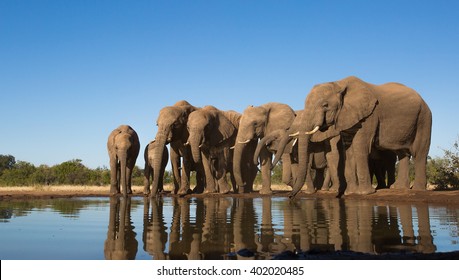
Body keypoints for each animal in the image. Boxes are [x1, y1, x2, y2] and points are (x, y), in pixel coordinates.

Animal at [288, 75, 432, 196]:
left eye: (325, 105)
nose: (290, 197)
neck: (339, 83)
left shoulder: (370, 115)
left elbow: (359, 147)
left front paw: (365, 193)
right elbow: (349, 151)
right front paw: (350, 193)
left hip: (424, 118)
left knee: (419, 152)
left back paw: (418, 189)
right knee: (402, 153)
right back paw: (399, 188)